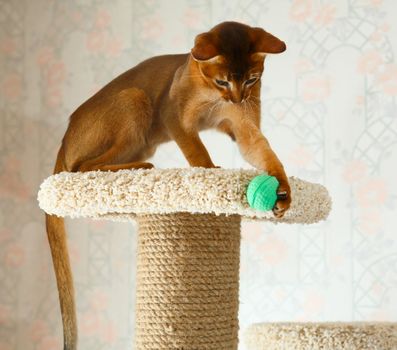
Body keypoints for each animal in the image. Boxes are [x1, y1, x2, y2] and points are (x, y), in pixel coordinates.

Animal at [46, 21, 290, 348]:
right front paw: (209, 173)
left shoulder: (244, 127)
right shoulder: (175, 117)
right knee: (82, 168)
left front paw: (284, 191)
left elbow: (264, 154)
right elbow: (197, 151)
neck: (213, 96)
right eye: (223, 81)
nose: (237, 99)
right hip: (135, 99)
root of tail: (63, 142)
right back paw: (140, 169)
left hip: (142, 137)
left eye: (252, 79)